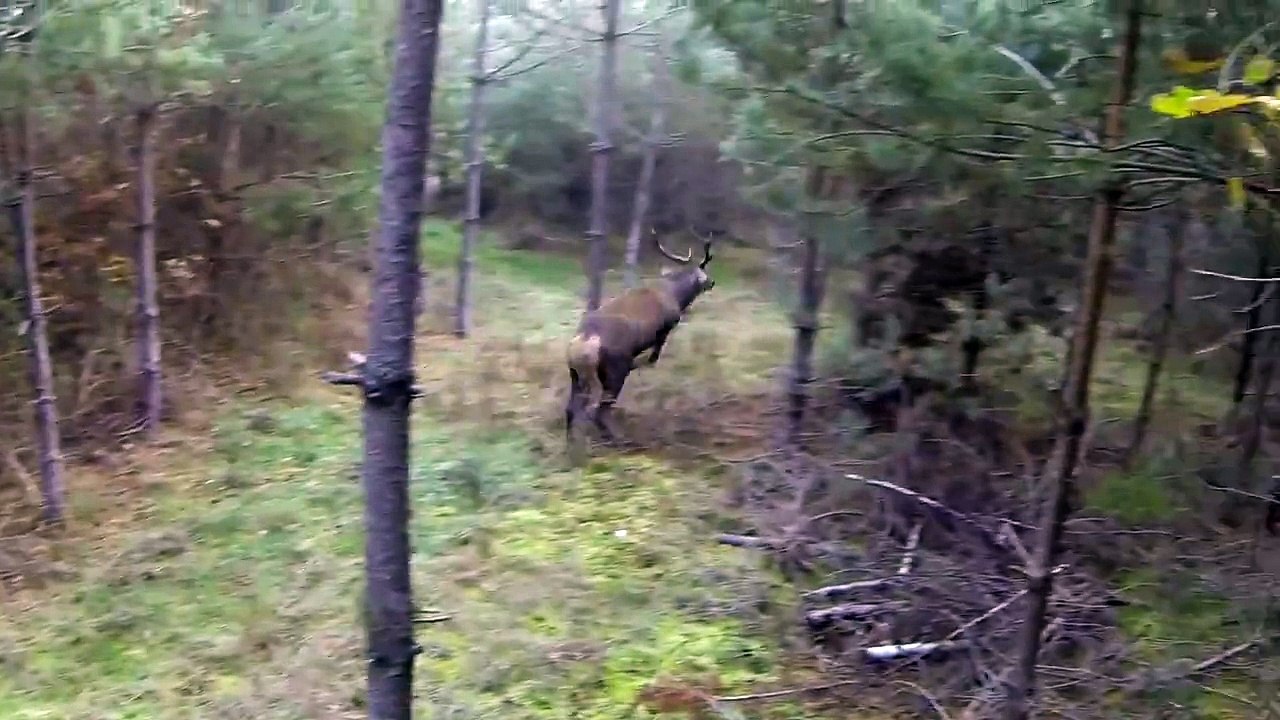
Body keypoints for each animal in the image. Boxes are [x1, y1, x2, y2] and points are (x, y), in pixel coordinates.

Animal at [565, 230, 716, 445]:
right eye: (703, 274)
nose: (712, 282)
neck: (677, 297)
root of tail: (584, 342)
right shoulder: (666, 327)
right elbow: (653, 357)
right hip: (614, 370)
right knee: (598, 410)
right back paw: (617, 440)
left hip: (574, 373)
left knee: (571, 409)